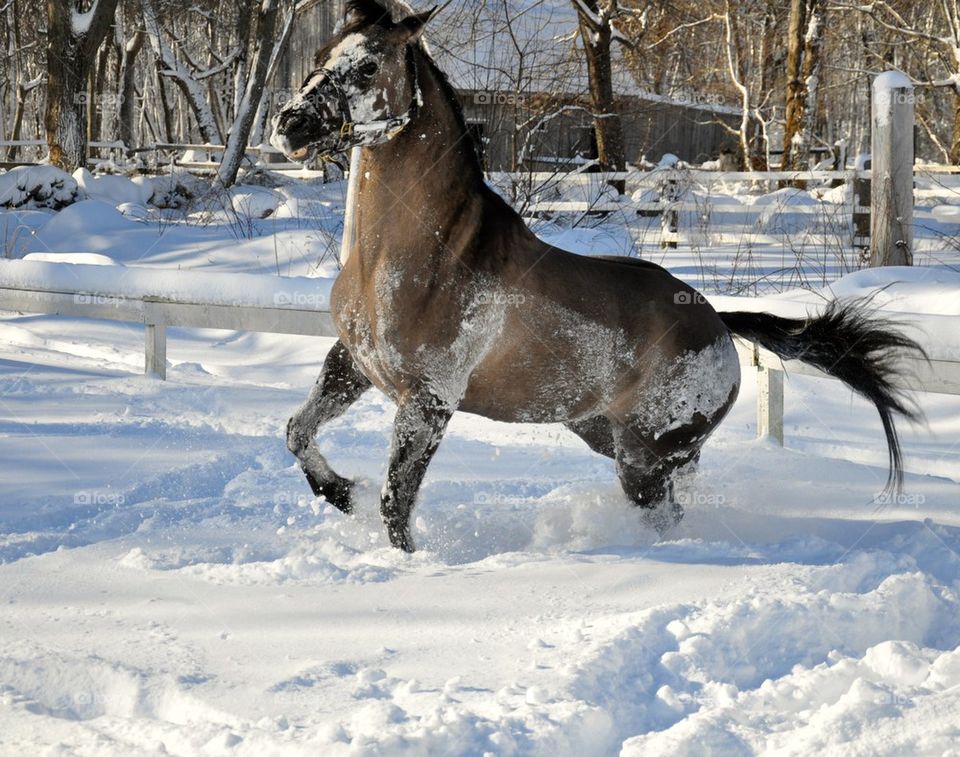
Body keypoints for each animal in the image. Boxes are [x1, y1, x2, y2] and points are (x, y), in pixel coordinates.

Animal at [270, 1, 924, 556]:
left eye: (368, 64)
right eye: (322, 53)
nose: (289, 124)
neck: (410, 257)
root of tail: (717, 323)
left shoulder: (428, 401)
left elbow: (396, 505)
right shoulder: (350, 365)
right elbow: (298, 432)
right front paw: (342, 493)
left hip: (644, 458)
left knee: (662, 513)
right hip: (605, 434)